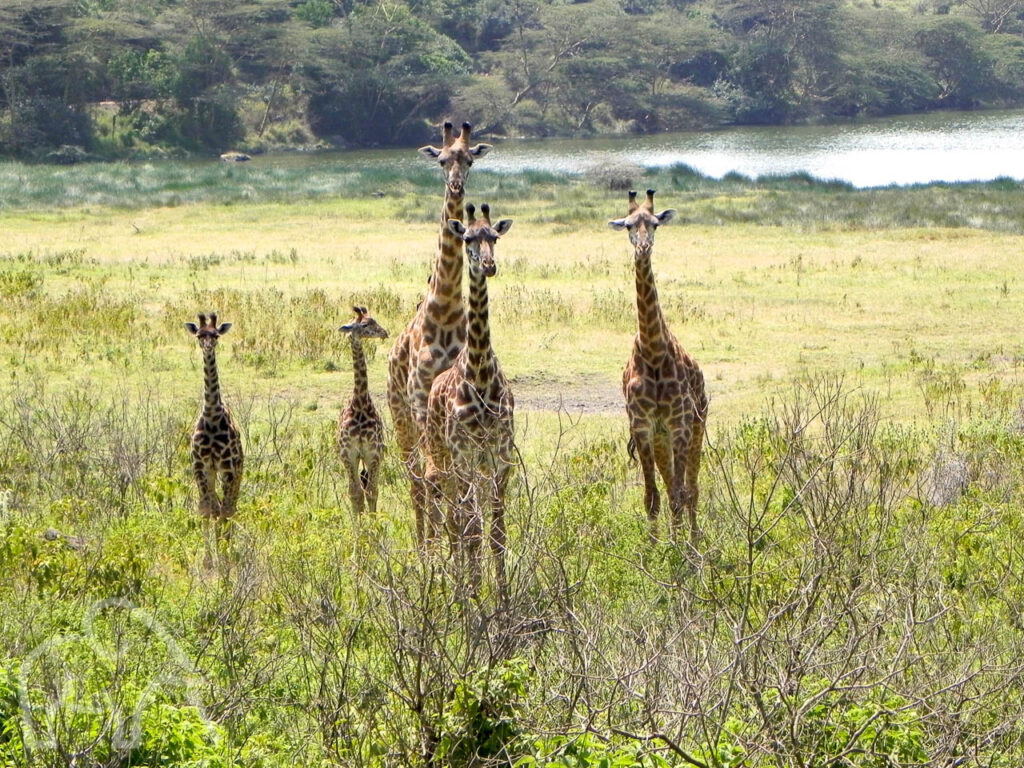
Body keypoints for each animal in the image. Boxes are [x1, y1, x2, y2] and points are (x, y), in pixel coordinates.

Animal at [606, 189, 704, 544]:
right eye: (628, 225)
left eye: (655, 224)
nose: (643, 247)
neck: (652, 351)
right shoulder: (643, 425)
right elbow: (652, 496)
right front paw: (653, 547)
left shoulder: (679, 423)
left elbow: (679, 493)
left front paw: (680, 550)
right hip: (662, 438)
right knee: (670, 485)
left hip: (697, 425)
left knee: (691, 488)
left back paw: (694, 539)